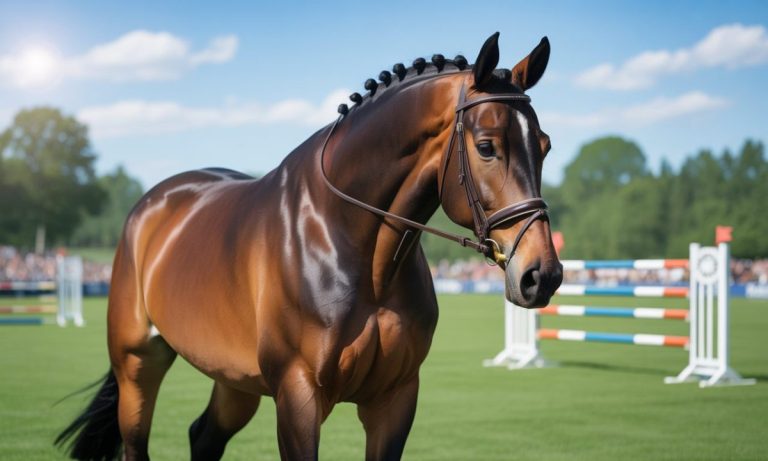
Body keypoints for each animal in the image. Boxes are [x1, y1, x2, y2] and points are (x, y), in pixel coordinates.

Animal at [56, 32, 563, 460]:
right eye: (486, 146)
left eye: (545, 145)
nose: (542, 275)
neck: (350, 245)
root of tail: (153, 204)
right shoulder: (297, 396)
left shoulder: (394, 400)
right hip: (138, 365)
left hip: (234, 381)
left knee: (204, 436)